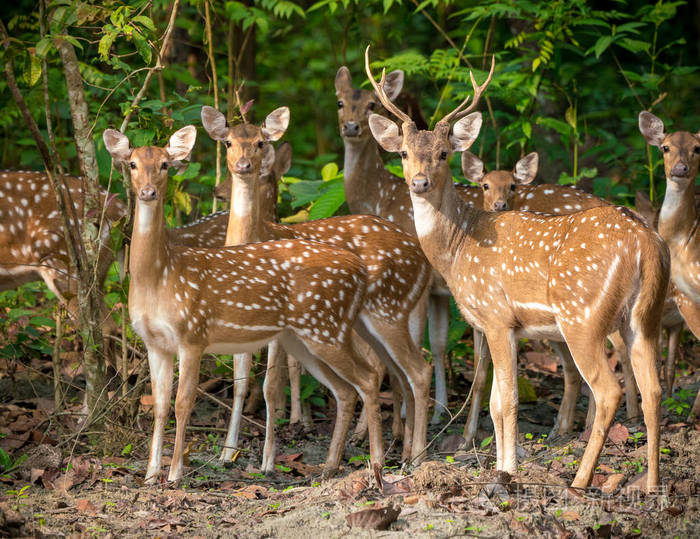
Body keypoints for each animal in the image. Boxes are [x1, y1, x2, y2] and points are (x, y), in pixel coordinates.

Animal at [103, 125, 389, 483]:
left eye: (166, 164)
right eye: (132, 164)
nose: (148, 192)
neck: (159, 277)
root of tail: (359, 270)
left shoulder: (193, 334)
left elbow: (183, 403)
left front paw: (175, 473)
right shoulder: (155, 342)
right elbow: (159, 404)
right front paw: (151, 474)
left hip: (325, 328)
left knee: (367, 378)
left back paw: (376, 464)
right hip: (304, 338)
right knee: (346, 390)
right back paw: (330, 465)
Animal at [200, 104, 435, 469]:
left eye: (260, 143)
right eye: (227, 142)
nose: (243, 166)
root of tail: (422, 258)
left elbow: (271, 383)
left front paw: (268, 458)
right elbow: (240, 381)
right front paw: (227, 453)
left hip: (385, 312)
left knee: (410, 369)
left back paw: (406, 454)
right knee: (399, 370)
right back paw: (399, 447)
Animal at [366, 46, 669, 491]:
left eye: (443, 153)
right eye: (403, 153)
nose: (419, 182)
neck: (458, 248)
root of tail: (646, 244)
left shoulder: (495, 316)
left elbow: (506, 400)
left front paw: (507, 472)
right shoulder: (505, 326)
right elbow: (494, 402)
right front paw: (501, 466)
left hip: (583, 316)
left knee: (607, 390)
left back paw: (580, 480)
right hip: (644, 317)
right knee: (655, 390)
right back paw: (650, 483)